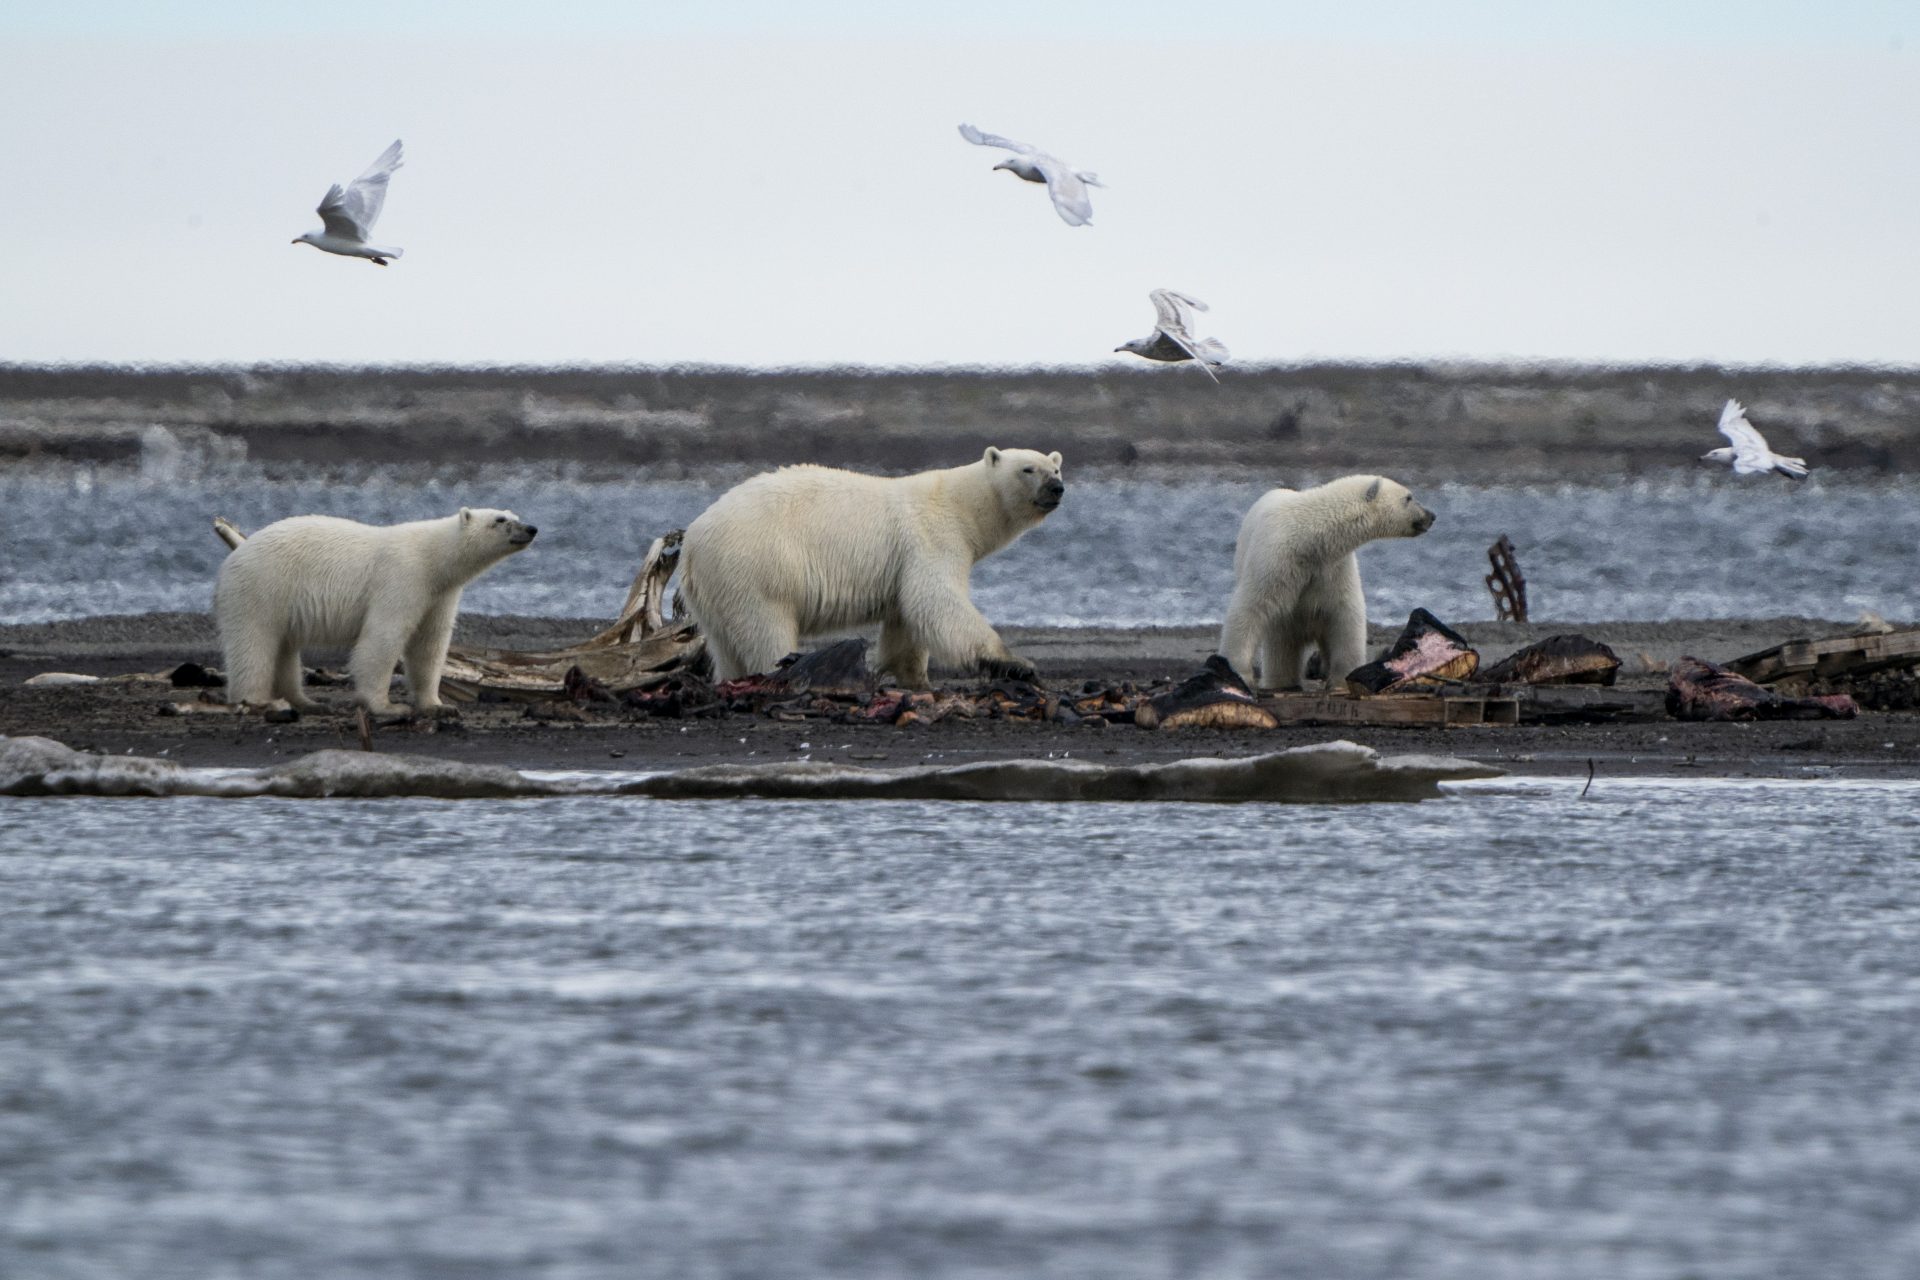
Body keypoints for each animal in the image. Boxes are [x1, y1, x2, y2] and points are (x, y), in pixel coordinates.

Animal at [214, 506, 537, 710]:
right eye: (500, 519)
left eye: (516, 515)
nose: (532, 528)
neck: (433, 558)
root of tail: (232, 557)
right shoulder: (402, 576)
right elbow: (383, 637)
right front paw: (385, 706)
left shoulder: (439, 594)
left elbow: (429, 644)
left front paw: (437, 705)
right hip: (261, 588)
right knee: (254, 643)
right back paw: (259, 700)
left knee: (284, 647)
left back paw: (306, 702)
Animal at [675, 450, 1067, 690]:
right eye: (1028, 469)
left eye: (1056, 467)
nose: (1057, 487)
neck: (961, 506)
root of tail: (692, 541)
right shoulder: (931, 537)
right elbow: (936, 601)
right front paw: (1016, 663)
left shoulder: (904, 561)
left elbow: (906, 619)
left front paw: (913, 677)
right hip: (756, 567)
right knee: (765, 628)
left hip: (715, 590)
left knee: (725, 645)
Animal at [1221, 474, 1436, 690]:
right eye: (1408, 497)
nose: (1431, 515)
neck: (1309, 540)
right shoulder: (1276, 561)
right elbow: (1251, 607)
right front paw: (1240, 674)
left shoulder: (1334, 569)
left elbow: (1344, 617)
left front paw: (1342, 680)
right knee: (1281, 644)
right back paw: (1282, 683)